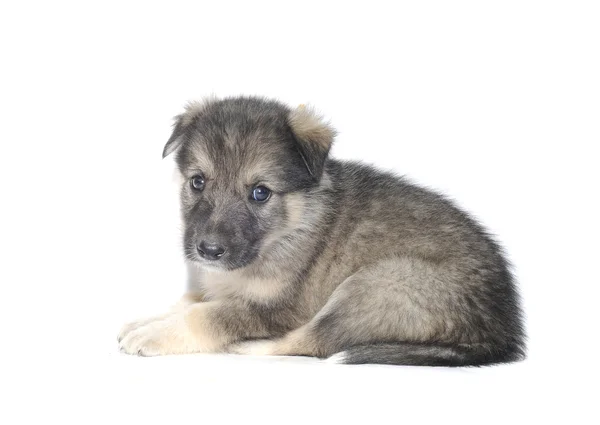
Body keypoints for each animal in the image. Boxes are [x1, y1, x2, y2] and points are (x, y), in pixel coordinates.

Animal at [117, 96, 524, 364]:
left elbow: (208, 315)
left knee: (314, 342)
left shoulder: (280, 309)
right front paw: (147, 320)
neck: (288, 231)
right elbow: (190, 301)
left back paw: (251, 346)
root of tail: (502, 333)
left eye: (260, 192)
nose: (209, 251)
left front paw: (153, 334)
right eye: (198, 182)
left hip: (376, 284)